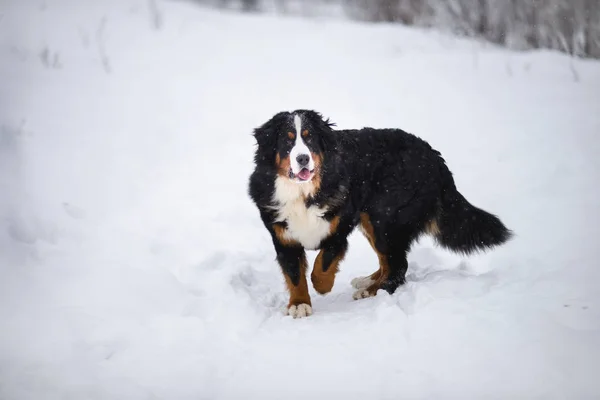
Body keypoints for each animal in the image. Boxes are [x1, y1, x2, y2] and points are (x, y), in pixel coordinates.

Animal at [247, 109, 510, 318]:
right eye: (288, 141)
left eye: (309, 139)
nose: (302, 158)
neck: (303, 193)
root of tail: (436, 159)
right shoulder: (283, 236)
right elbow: (294, 275)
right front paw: (299, 303)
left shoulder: (340, 227)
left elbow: (323, 263)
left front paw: (322, 286)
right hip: (373, 221)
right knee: (389, 262)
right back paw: (368, 281)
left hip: (385, 218)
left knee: (398, 266)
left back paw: (373, 290)